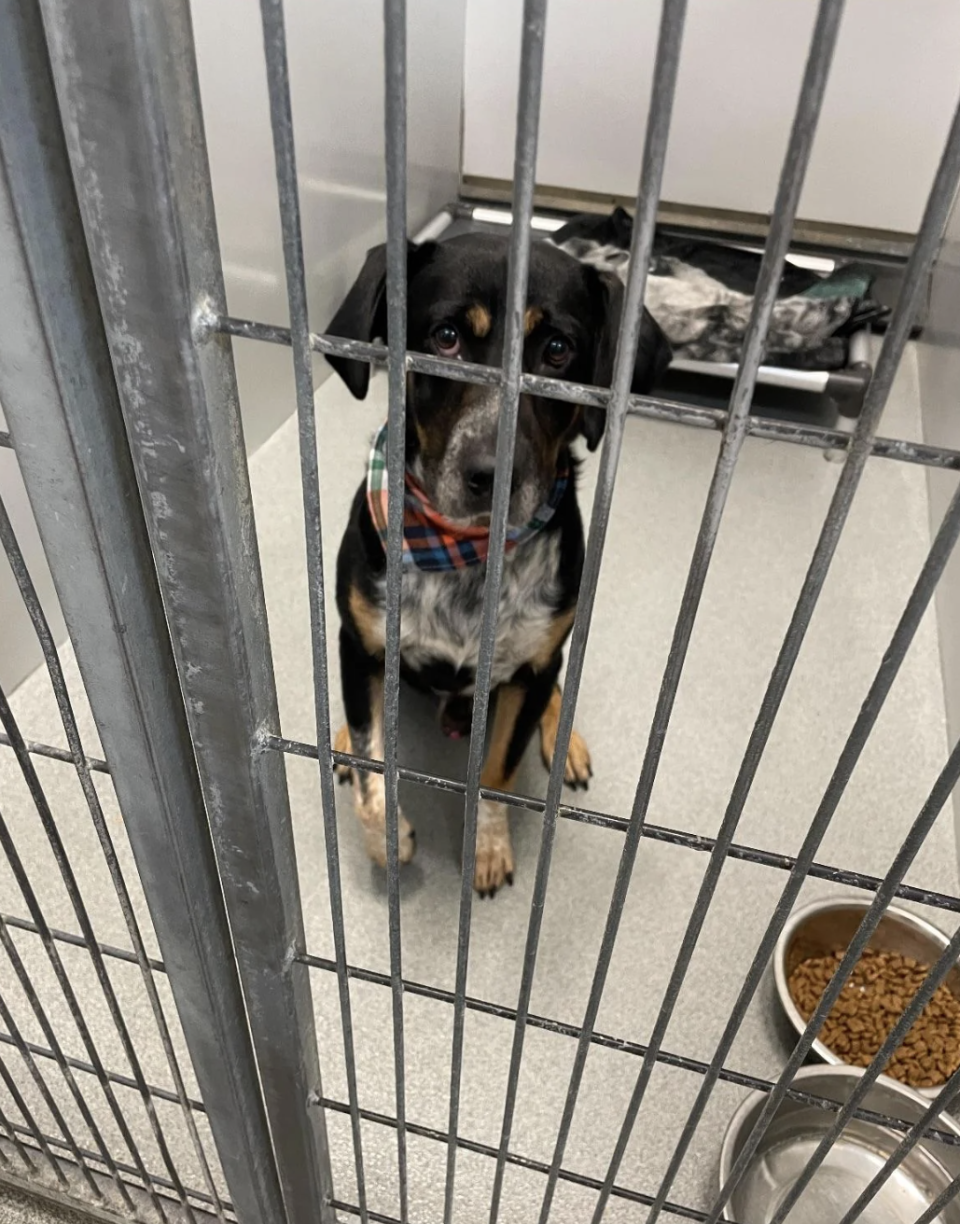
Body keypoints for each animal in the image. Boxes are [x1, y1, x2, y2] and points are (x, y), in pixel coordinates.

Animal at [323, 231, 666, 900]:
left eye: (557, 350)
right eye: (445, 336)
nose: (493, 472)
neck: (465, 551)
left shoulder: (531, 667)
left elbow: (497, 773)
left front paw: (487, 848)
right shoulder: (362, 640)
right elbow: (376, 774)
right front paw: (387, 841)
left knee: (554, 692)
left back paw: (565, 743)